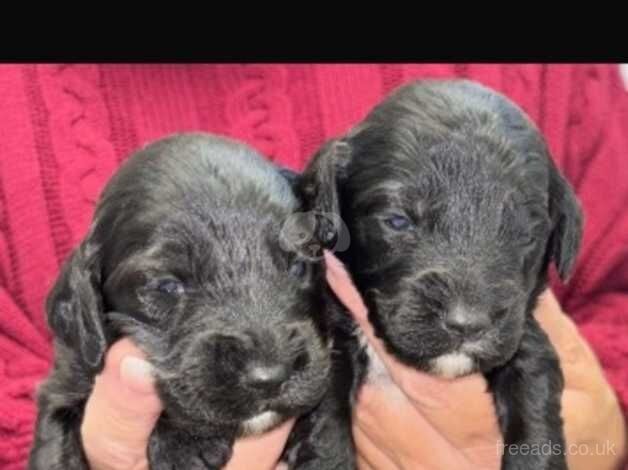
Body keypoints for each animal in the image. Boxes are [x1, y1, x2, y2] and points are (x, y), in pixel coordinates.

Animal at [28, 133, 338, 470]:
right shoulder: (64, 382)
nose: (269, 377)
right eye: (167, 286)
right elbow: (55, 449)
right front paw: (185, 441)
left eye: (298, 267)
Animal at [300, 81, 584, 470]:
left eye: (525, 234)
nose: (467, 325)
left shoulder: (523, 337)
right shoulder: (329, 343)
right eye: (397, 221)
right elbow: (324, 428)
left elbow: (535, 413)